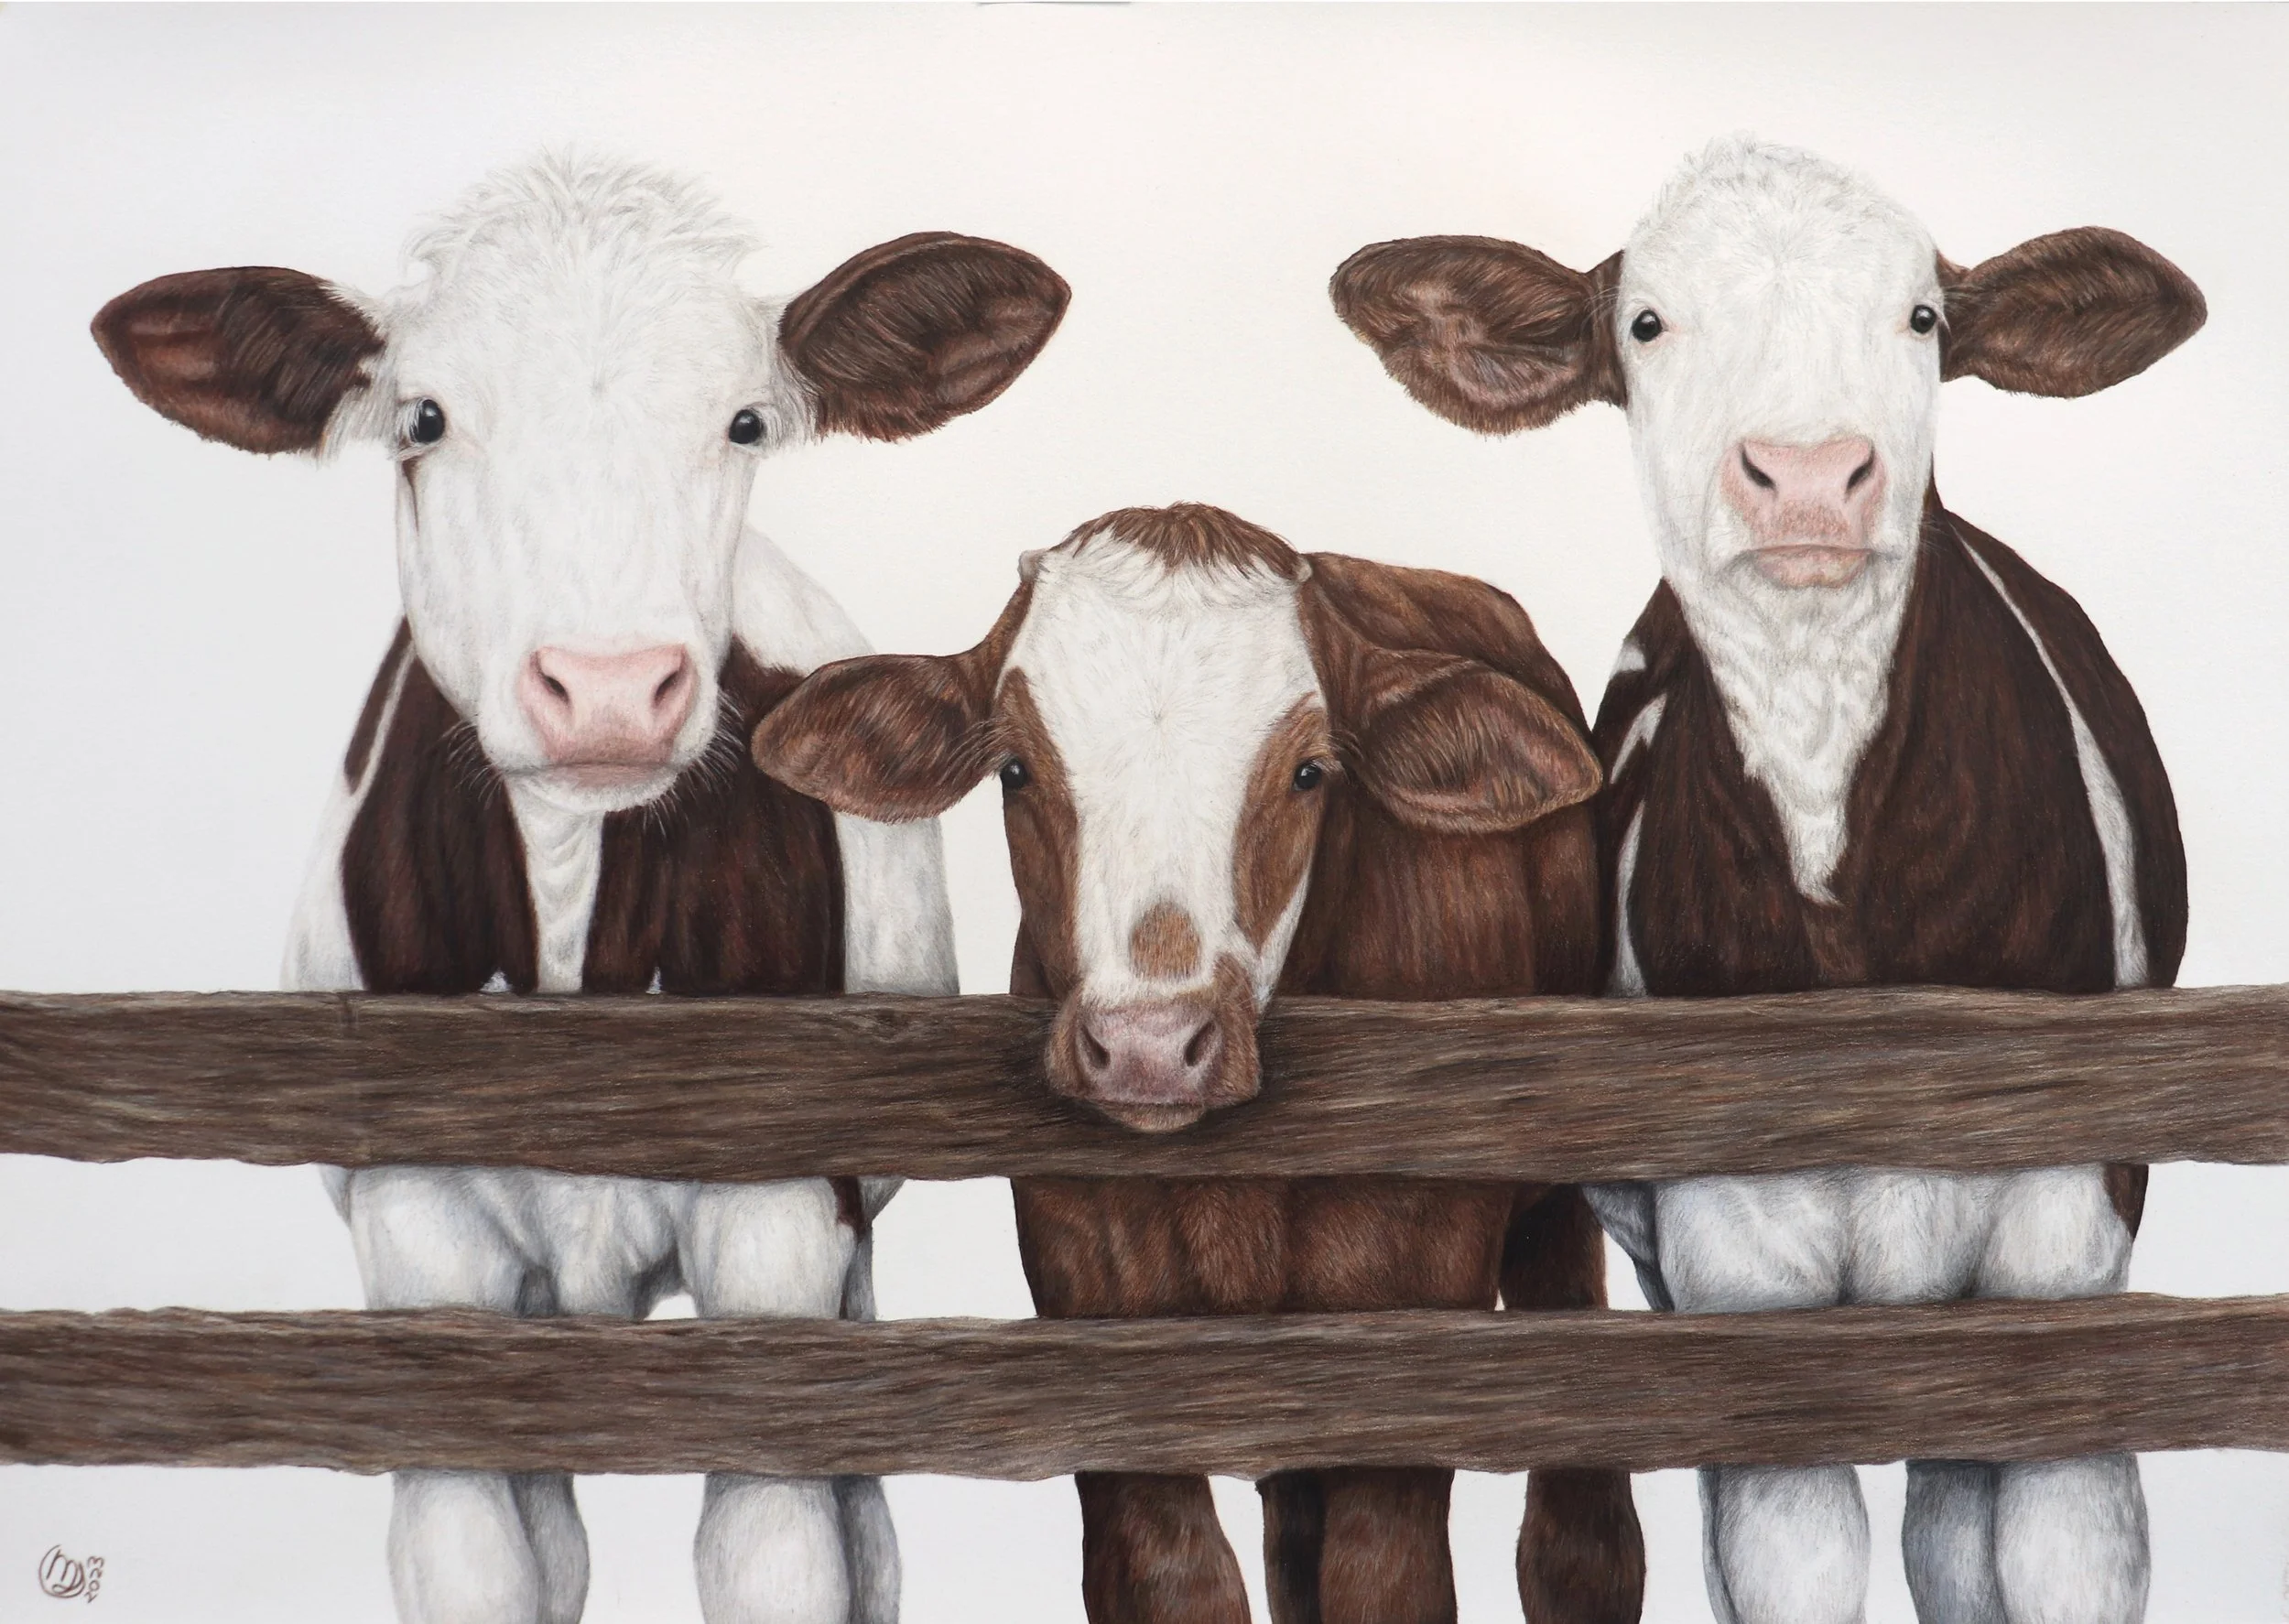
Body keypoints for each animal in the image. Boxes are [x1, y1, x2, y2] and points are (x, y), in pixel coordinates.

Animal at [91, 155, 1069, 1624]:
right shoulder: (422, 1237)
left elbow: (777, 1545)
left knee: (866, 1520)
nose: (607, 687)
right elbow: (481, 1553)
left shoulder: (782, 1225)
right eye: (424, 418)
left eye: (744, 421)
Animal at [752, 501, 1647, 1624]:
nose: (1150, 1044)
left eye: (1310, 773)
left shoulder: (1408, 1348)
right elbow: (1176, 1575)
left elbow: (1388, 1579)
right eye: (1016, 771)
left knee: (1581, 1538)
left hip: (1555, 1203)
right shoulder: (1096, 1326)